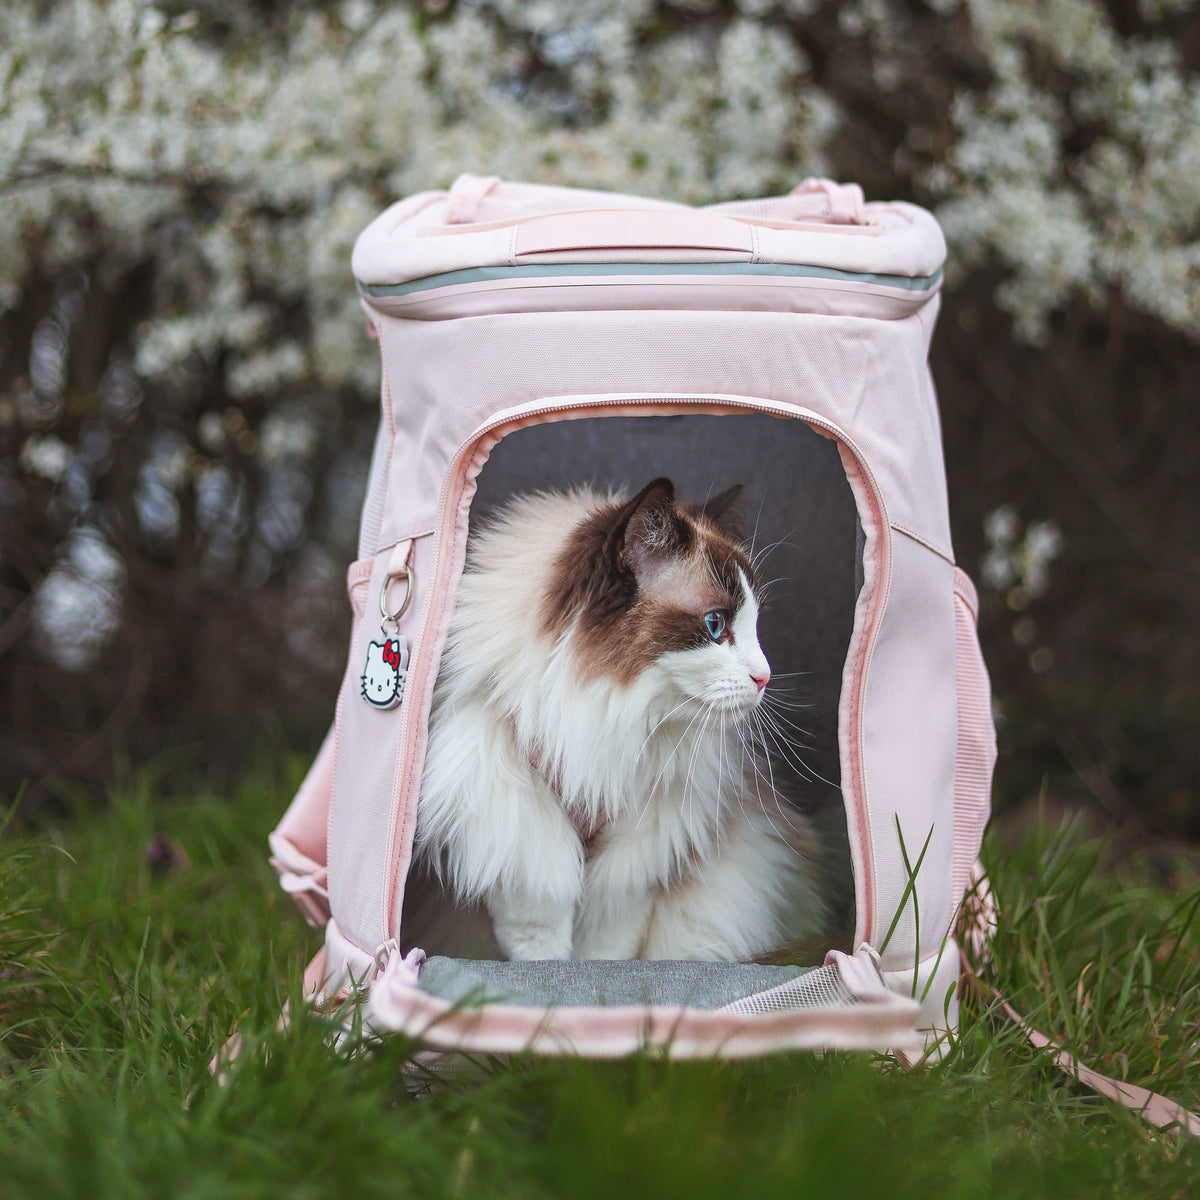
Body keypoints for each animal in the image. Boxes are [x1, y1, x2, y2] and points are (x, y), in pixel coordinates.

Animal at [415, 472, 825, 960]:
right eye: (715, 625)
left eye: (755, 625)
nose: (765, 677)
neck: (606, 723)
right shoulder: (528, 866)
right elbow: (542, 954)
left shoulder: (628, 875)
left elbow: (605, 957)